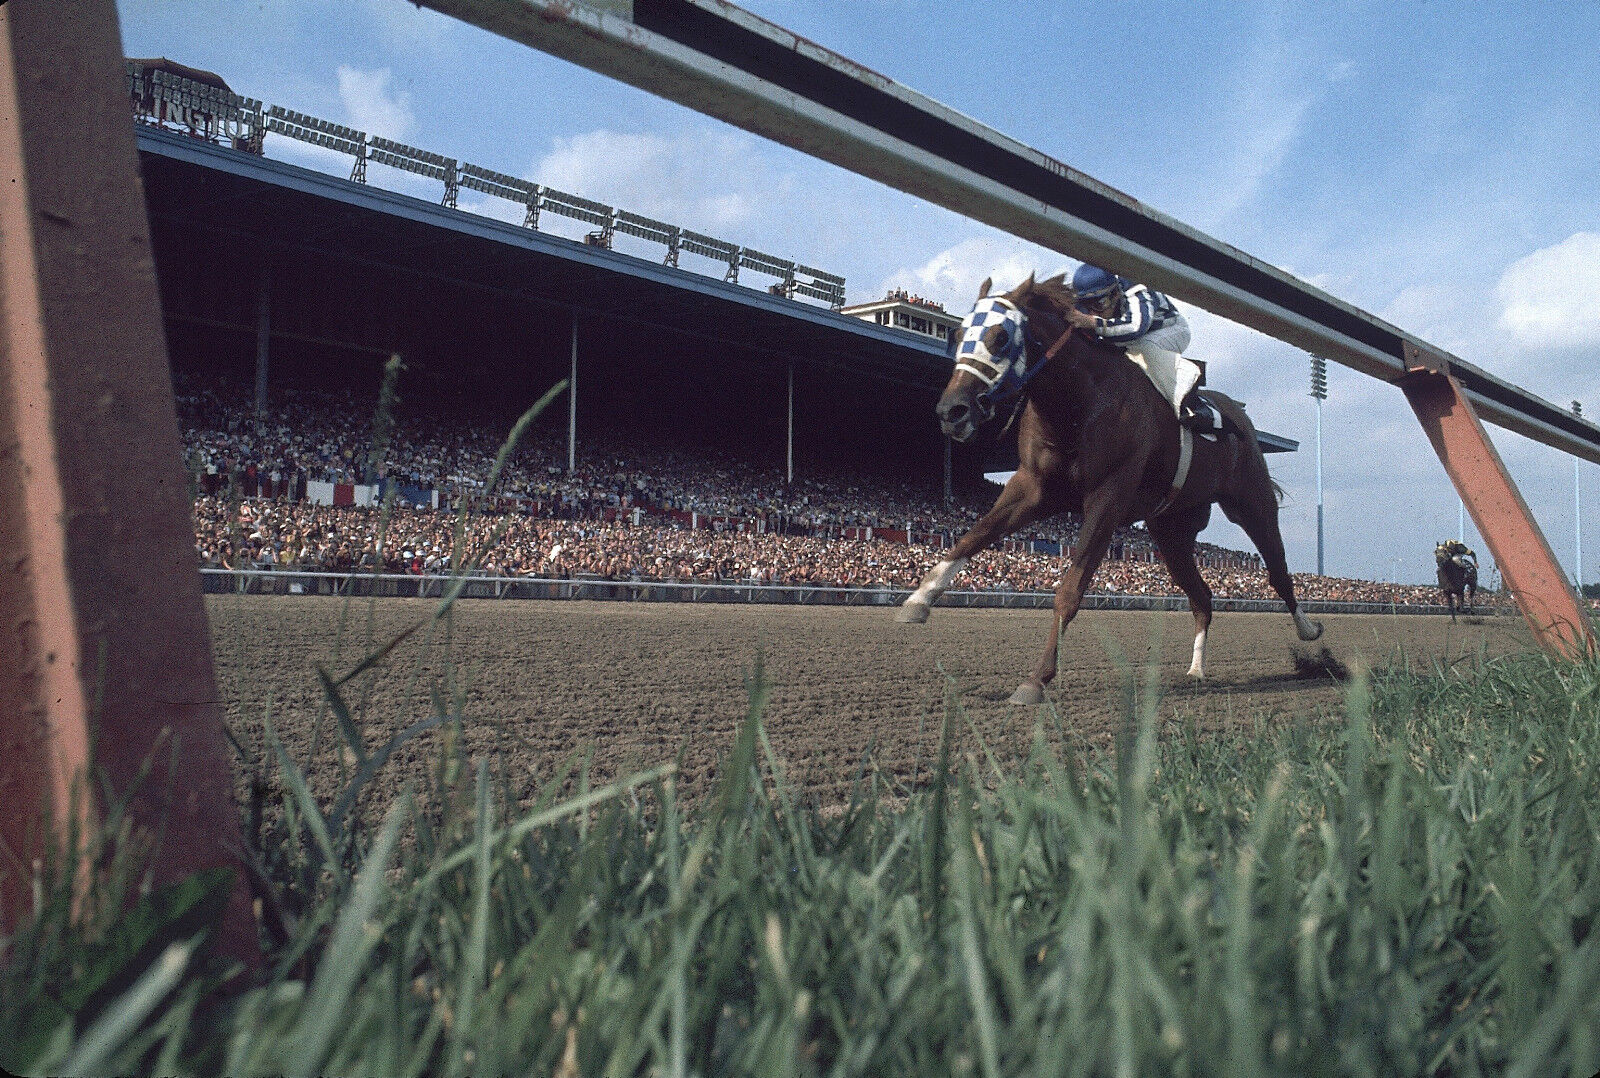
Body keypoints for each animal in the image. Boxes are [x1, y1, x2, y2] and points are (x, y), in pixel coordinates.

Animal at [896, 273, 1318, 700]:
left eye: (1000, 337)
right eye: (958, 334)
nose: (951, 411)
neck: (1078, 402)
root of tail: (1238, 415)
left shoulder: (1108, 497)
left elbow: (1070, 590)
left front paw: (1036, 680)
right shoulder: (1033, 487)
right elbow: (973, 535)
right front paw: (918, 599)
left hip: (1250, 502)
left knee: (1278, 572)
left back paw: (1309, 632)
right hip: (1171, 531)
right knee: (1202, 596)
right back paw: (1196, 669)